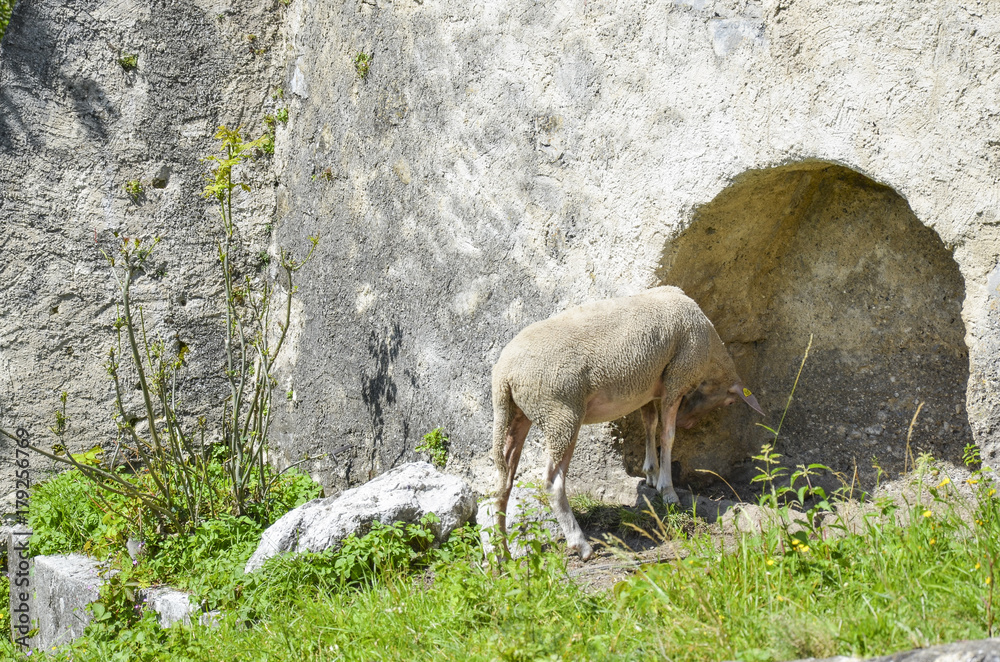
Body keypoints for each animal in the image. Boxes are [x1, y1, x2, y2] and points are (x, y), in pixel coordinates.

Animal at [490, 285, 763, 560]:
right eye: (729, 402)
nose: (687, 423)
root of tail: (504, 375)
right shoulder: (677, 377)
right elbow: (667, 435)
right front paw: (668, 490)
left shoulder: (647, 388)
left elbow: (650, 423)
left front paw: (652, 473)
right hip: (561, 413)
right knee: (552, 482)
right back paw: (580, 544)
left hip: (518, 414)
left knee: (504, 479)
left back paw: (502, 552)